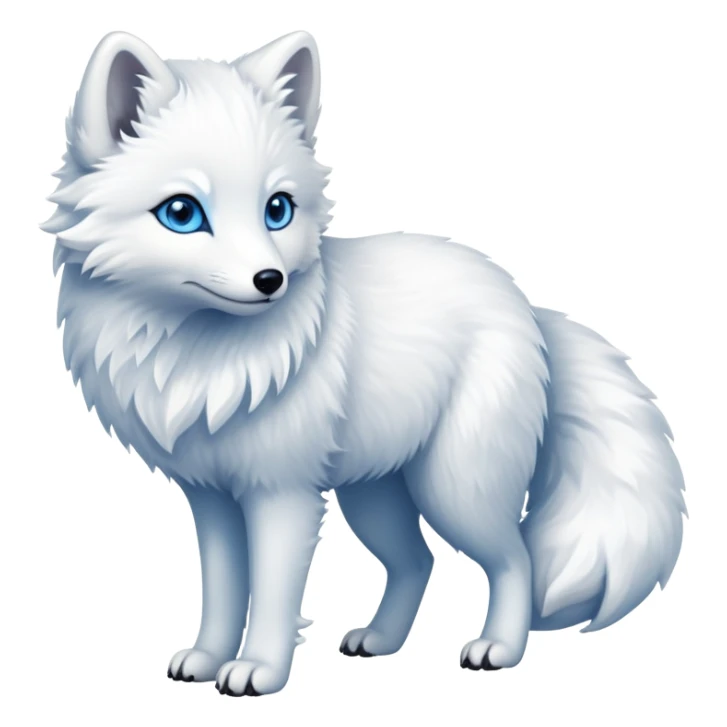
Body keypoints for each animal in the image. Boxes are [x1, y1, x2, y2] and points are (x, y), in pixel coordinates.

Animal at [41, 30, 687, 697]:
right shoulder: (212, 498)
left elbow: (272, 595)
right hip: (373, 497)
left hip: (454, 490)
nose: (270, 281)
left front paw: (259, 670)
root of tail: (527, 306)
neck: (198, 357)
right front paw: (206, 657)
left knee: (516, 560)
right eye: (182, 214)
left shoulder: (282, 494)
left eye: (277, 210)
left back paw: (499, 650)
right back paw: (380, 642)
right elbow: (222, 590)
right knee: (419, 561)